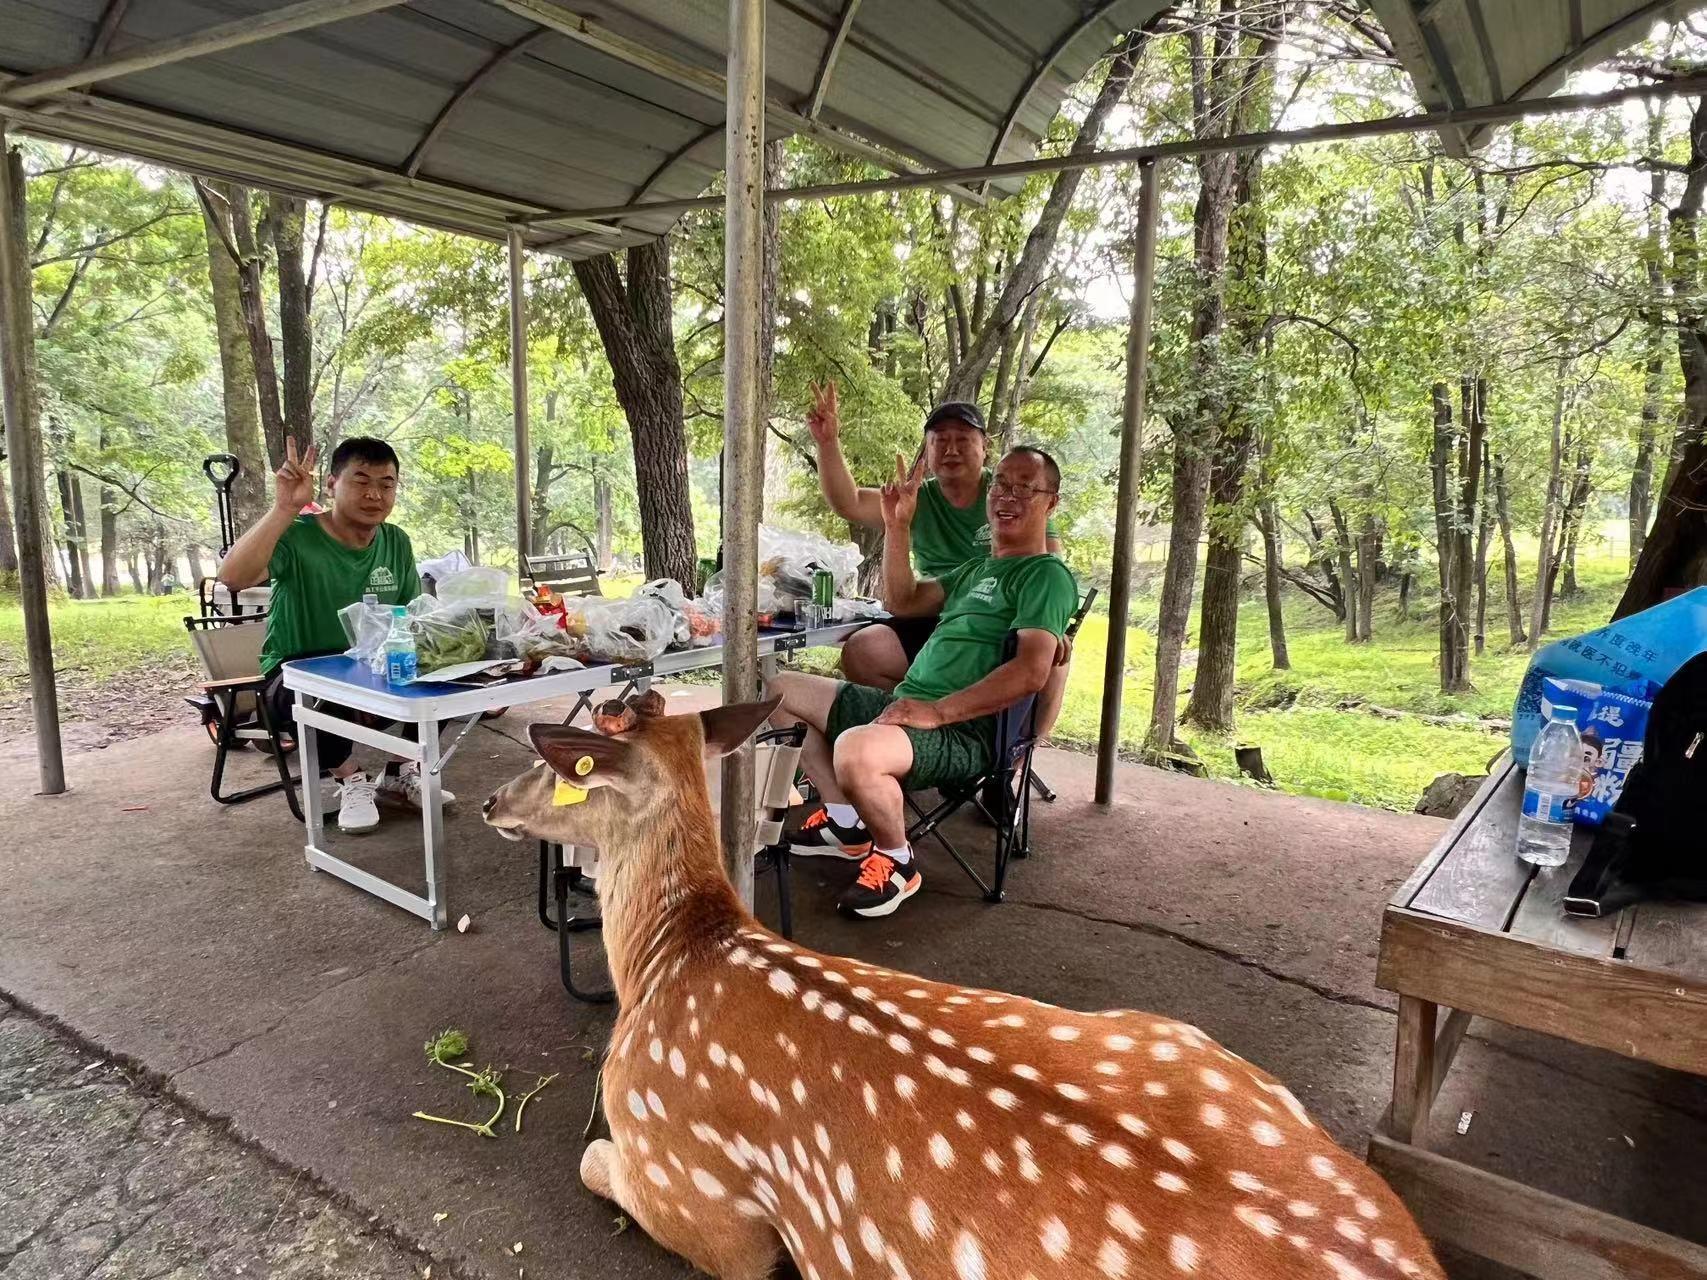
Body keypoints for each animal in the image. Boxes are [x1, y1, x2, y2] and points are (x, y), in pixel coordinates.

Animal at [481, 692, 1440, 1280]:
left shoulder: (695, 1190)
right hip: (1191, 1040)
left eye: (560, 770)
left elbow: (591, 1158)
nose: (490, 801)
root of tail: (1410, 1253)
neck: (671, 962)